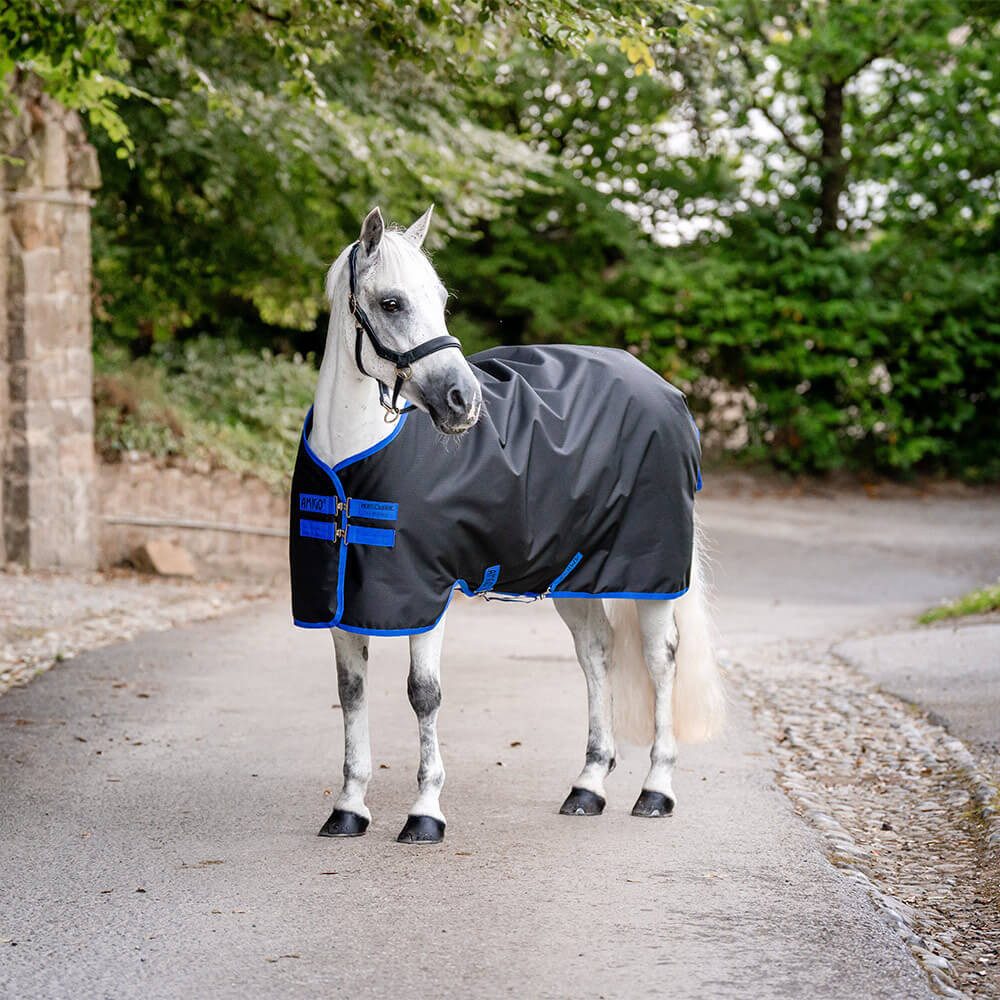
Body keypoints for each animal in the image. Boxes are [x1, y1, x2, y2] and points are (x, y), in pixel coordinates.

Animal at [296, 205, 725, 845]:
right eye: (392, 302)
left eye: (441, 299)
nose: (463, 401)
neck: (353, 463)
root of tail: (667, 392)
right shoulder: (343, 601)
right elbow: (351, 695)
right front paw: (348, 808)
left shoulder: (427, 595)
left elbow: (423, 695)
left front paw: (425, 813)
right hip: (576, 576)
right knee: (596, 654)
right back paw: (588, 787)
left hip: (651, 576)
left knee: (660, 660)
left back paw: (656, 790)